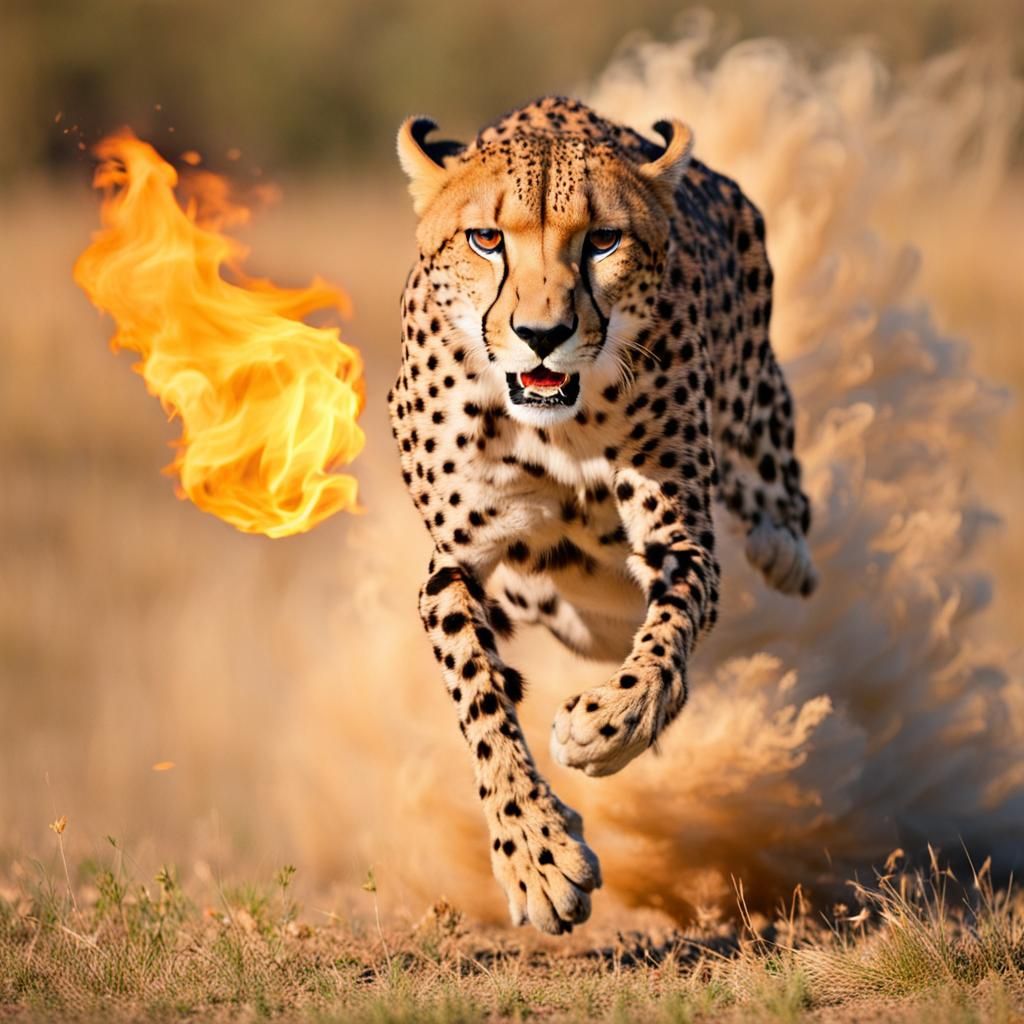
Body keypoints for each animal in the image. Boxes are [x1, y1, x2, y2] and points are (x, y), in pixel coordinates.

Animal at [388, 96, 817, 935]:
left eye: (602, 240)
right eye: (487, 239)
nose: (542, 334)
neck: (554, 423)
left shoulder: (679, 538)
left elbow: (667, 636)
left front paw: (607, 726)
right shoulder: (452, 566)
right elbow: (480, 698)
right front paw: (536, 856)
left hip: (754, 397)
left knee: (776, 475)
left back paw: (784, 546)